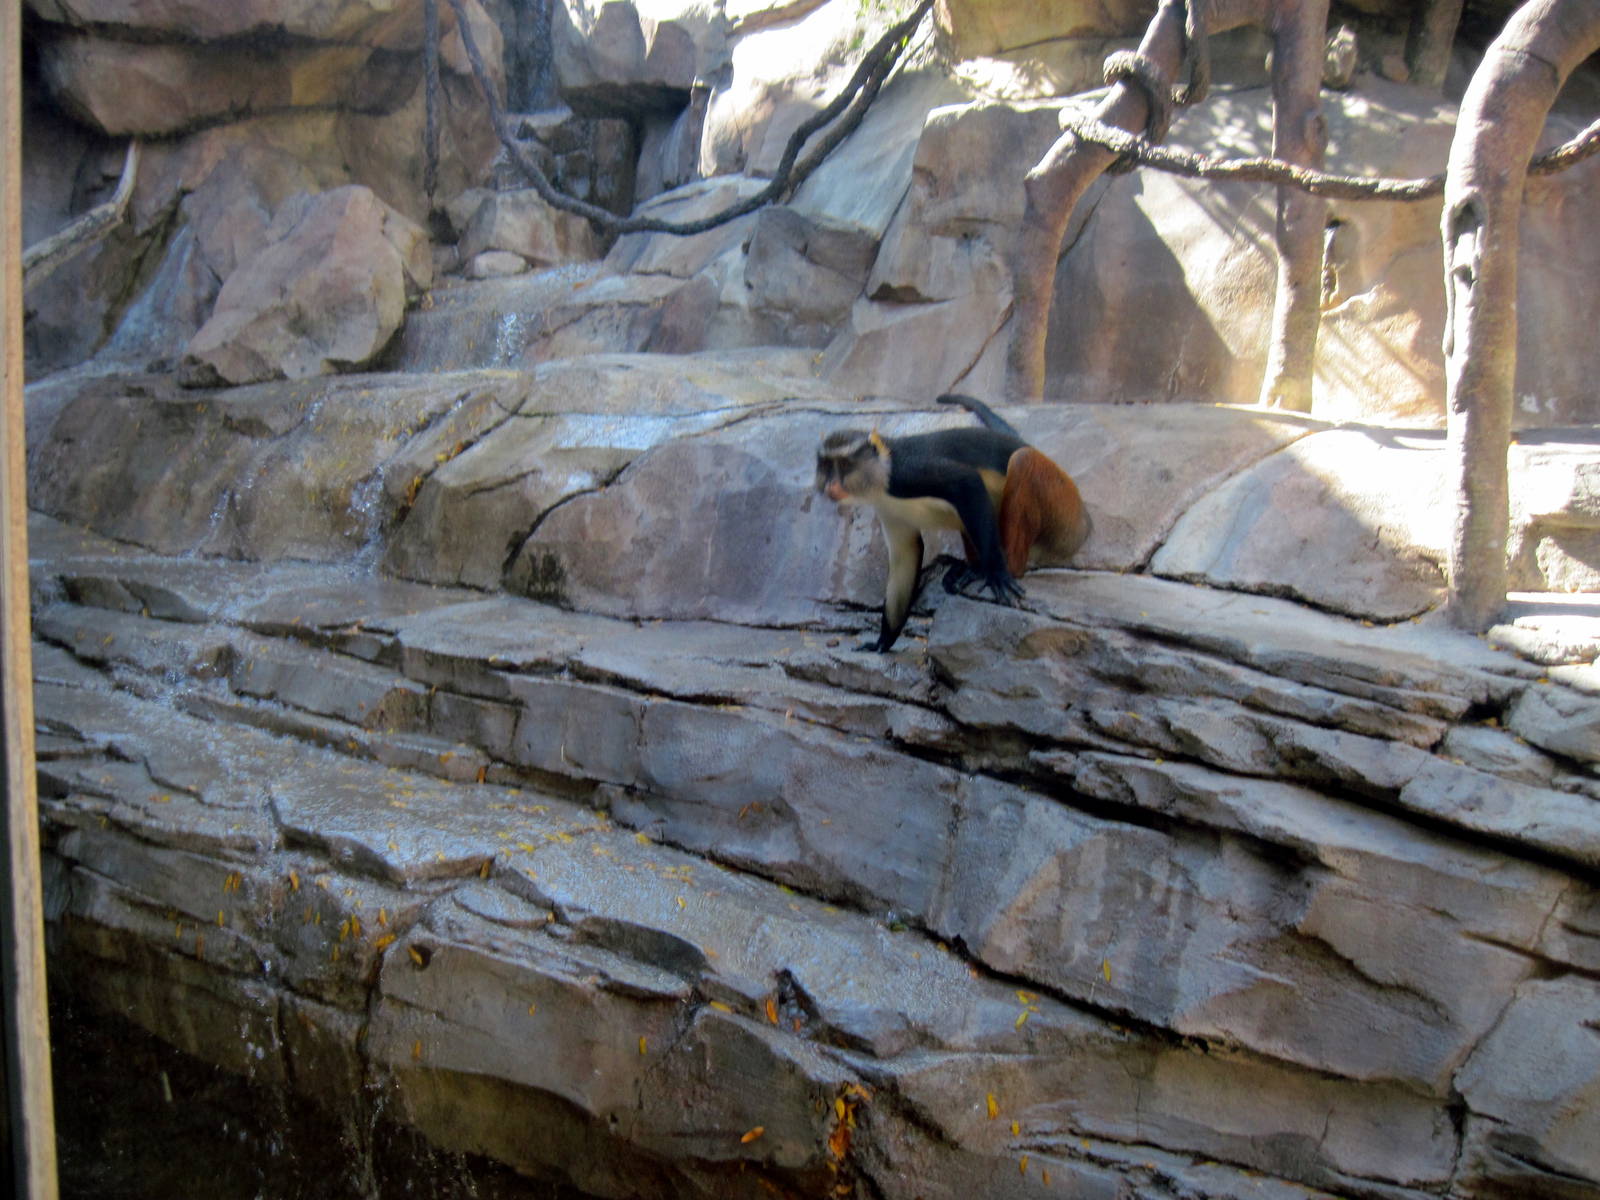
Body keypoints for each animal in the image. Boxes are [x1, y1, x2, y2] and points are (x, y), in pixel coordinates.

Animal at [816, 393, 1090, 653]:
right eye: (826, 466)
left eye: (844, 465)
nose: (831, 485)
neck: (881, 473)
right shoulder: (888, 510)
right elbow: (906, 554)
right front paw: (883, 641)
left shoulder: (908, 473)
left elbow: (967, 482)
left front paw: (998, 573)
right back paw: (973, 569)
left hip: (1064, 511)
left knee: (1022, 461)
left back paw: (1004, 567)